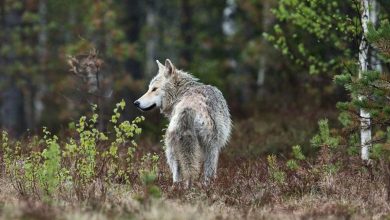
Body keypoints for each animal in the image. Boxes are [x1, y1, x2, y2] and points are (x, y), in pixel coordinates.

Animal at [134, 58, 232, 186]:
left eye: (154, 89)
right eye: (149, 88)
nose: (136, 103)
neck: (181, 93)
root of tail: (188, 108)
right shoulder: (214, 147)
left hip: (174, 147)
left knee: (178, 175)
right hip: (208, 147)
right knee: (204, 175)